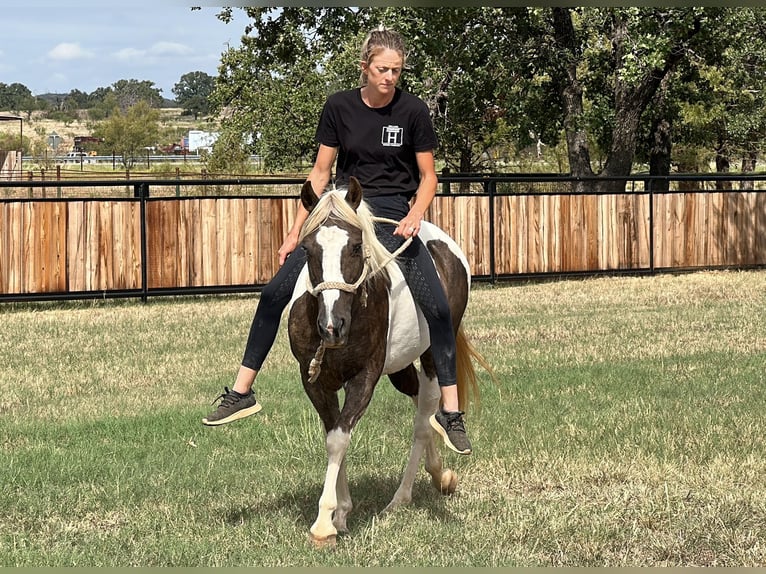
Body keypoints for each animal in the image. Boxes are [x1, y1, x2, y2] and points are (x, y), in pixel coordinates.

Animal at [288, 178, 486, 548]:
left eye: (355, 246)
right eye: (307, 249)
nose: (332, 325)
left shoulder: (365, 377)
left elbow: (339, 438)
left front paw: (324, 523)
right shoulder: (315, 381)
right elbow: (334, 434)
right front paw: (341, 512)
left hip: (433, 354)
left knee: (424, 418)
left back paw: (401, 498)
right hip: (400, 368)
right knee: (421, 403)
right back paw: (440, 475)